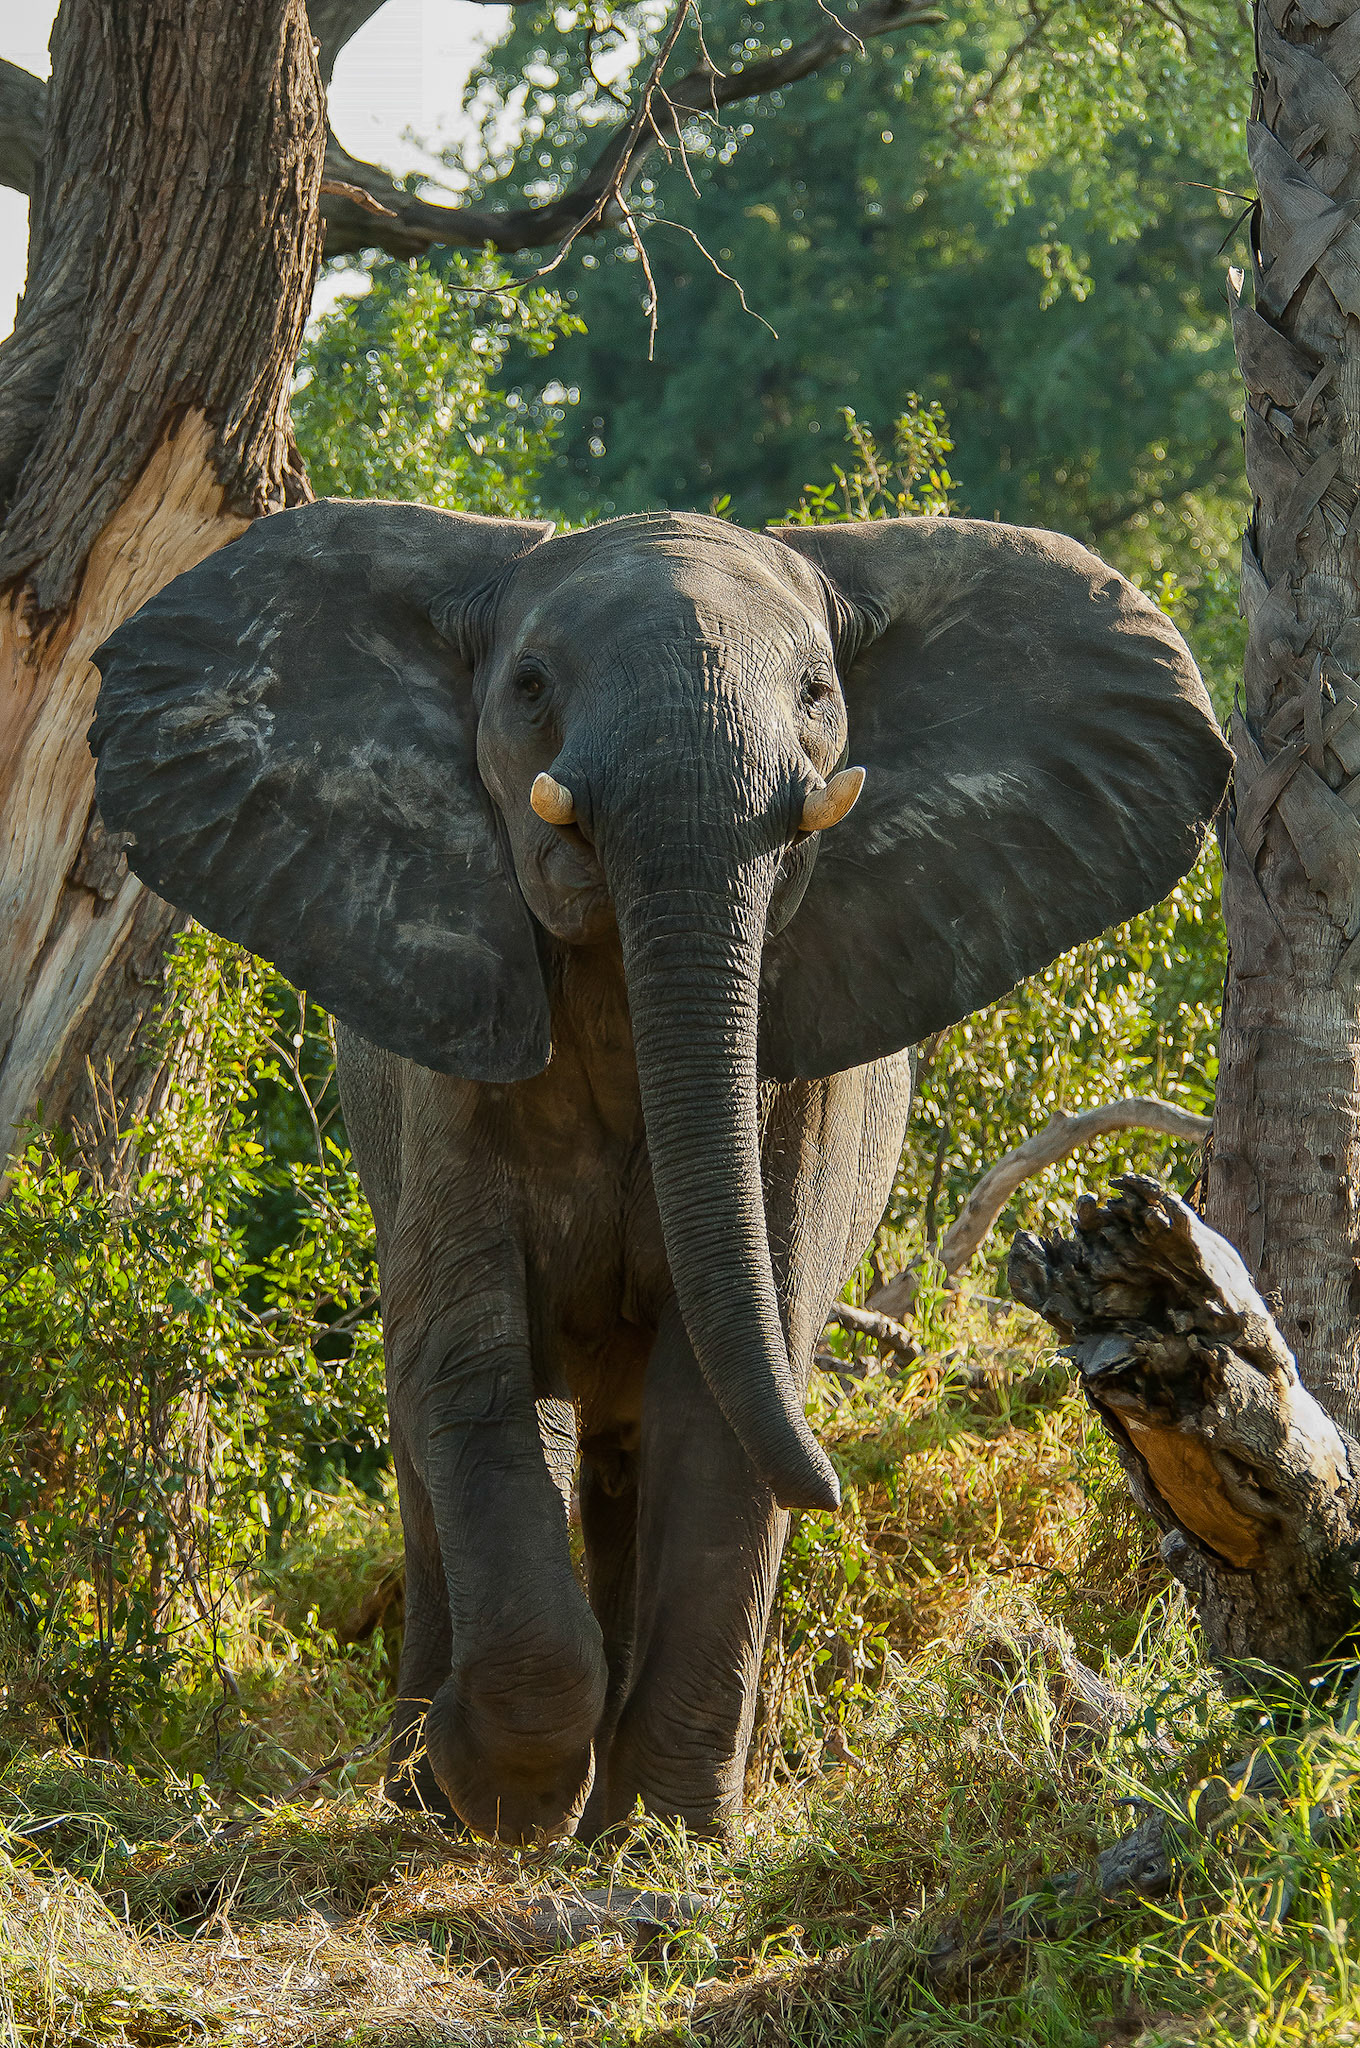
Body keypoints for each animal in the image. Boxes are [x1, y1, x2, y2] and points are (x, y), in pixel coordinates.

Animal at [89, 501, 1230, 1843]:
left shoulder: (795, 1091)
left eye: (817, 692)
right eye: (529, 686)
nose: (837, 1484)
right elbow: (471, 1365)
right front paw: (487, 1786)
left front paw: (661, 1835)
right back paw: (422, 1783)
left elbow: (718, 1397)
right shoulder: (449, 1070)